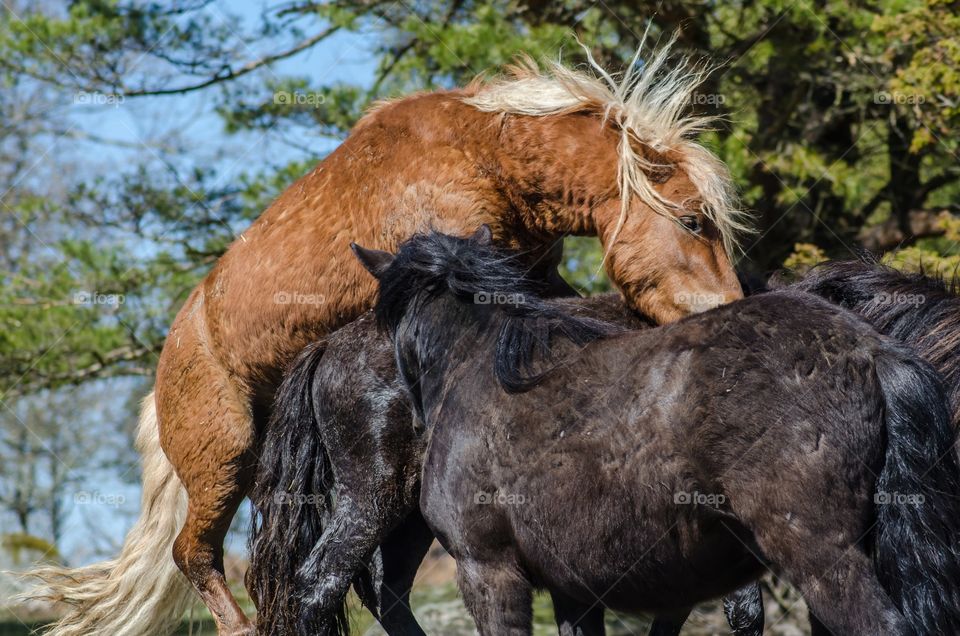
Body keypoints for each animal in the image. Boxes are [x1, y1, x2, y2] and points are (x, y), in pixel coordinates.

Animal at [28, 42, 752, 632]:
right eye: (693, 220)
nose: (729, 311)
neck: (483, 157)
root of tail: (163, 378)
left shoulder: (532, 275)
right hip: (226, 461)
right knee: (199, 556)